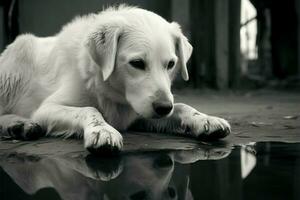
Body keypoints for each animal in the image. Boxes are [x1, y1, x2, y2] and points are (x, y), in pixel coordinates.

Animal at [0, 5, 231, 153]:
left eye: (171, 64)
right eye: (137, 63)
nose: (164, 107)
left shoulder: (139, 113)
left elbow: (182, 106)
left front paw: (205, 119)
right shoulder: (46, 109)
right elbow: (89, 109)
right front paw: (102, 130)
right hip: (14, 65)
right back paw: (19, 124)